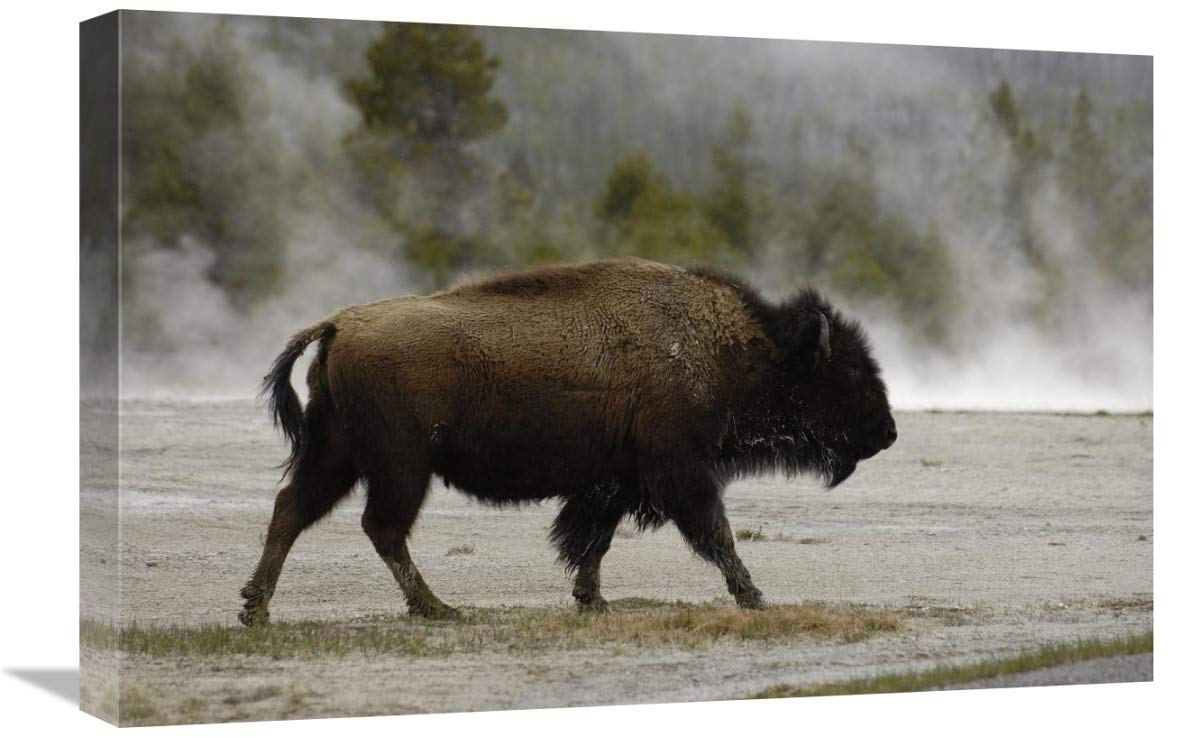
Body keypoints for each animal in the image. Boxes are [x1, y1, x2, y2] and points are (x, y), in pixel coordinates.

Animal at [239, 258, 895, 625]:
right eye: (848, 372)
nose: (887, 432)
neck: (731, 348)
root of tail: (339, 323)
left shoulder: (617, 480)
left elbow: (592, 541)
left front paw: (592, 601)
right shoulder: (679, 471)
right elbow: (715, 534)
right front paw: (755, 597)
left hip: (339, 455)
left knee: (293, 509)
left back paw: (256, 609)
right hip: (401, 466)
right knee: (381, 527)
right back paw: (438, 610)